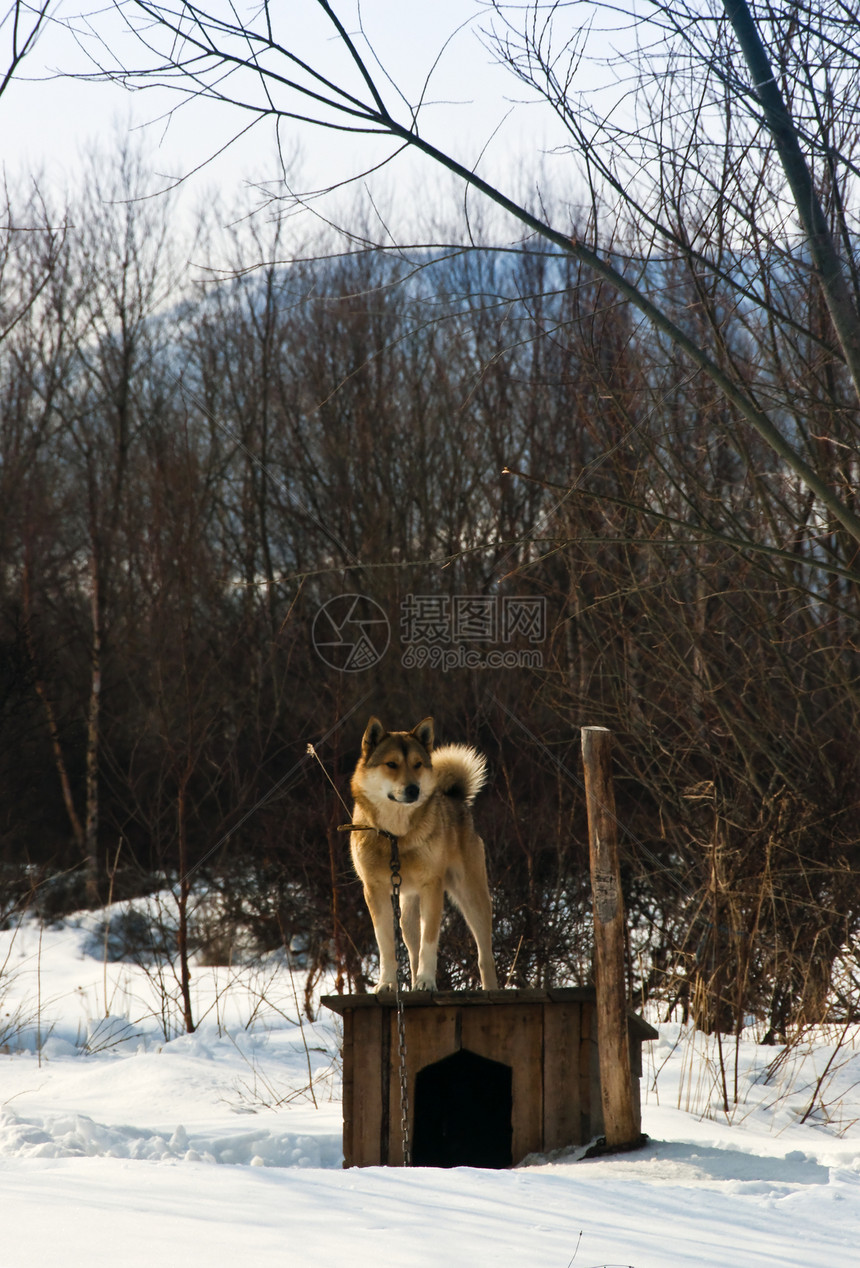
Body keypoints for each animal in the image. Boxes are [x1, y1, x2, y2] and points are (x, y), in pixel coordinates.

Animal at [347, 720, 499, 994]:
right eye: (392, 764)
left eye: (417, 764)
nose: (413, 789)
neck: (395, 836)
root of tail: (455, 798)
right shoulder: (373, 890)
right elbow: (385, 944)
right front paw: (387, 983)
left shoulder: (432, 887)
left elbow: (429, 942)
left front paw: (427, 982)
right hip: (408, 909)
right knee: (412, 949)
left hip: (472, 896)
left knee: (484, 955)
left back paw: (489, 988)